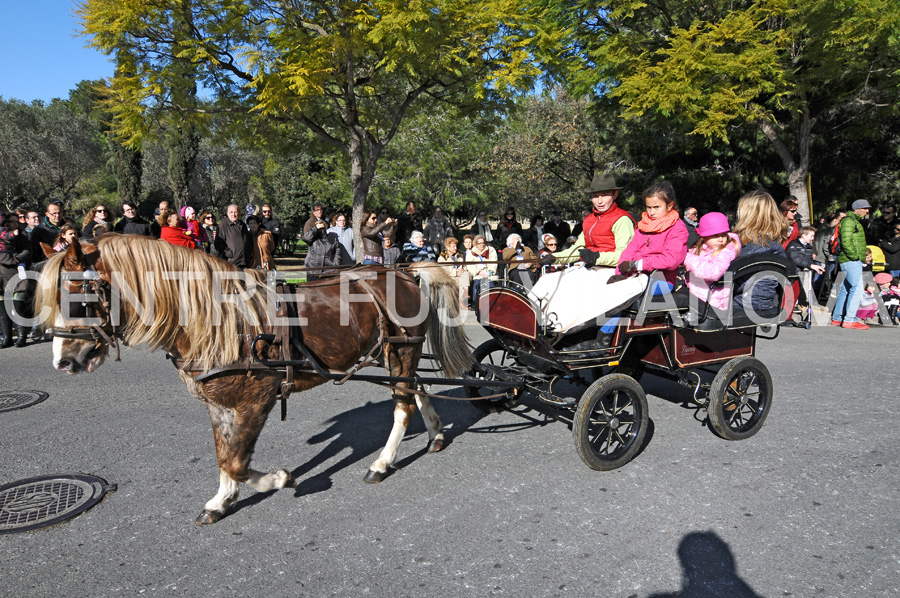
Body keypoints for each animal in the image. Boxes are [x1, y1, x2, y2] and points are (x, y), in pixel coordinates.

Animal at [37, 234, 472, 524]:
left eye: (77, 297)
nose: (63, 360)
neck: (221, 322)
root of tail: (403, 271)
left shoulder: (255, 400)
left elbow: (238, 462)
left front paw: (279, 479)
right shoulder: (219, 403)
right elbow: (224, 456)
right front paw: (222, 500)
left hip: (401, 351)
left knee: (402, 405)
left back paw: (382, 462)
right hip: (395, 353)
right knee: (417, 390)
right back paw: (435, 434)